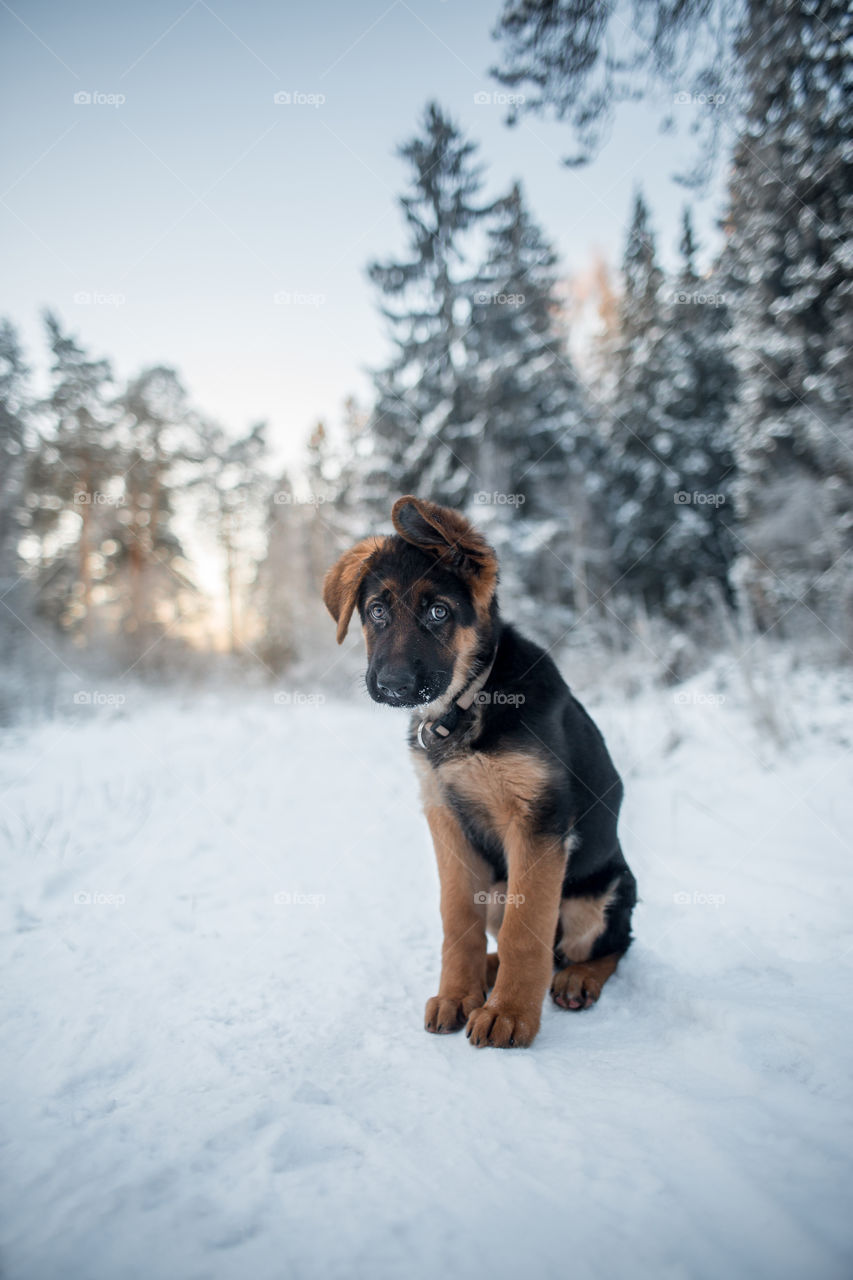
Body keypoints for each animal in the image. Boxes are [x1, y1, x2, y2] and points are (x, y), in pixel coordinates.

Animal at [322, 494, 635, 1044]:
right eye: (377, 611)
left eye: (438, 612)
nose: (393, 686)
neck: (466, 706)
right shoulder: (445, 819)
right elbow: (457, 918)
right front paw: (457, 995)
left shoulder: (537, 823)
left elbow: (525, 932)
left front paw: (510, 1014)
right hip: (496, 886)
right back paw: (489, 975)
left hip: (605, 891)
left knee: (605, 946)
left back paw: (576, 978)